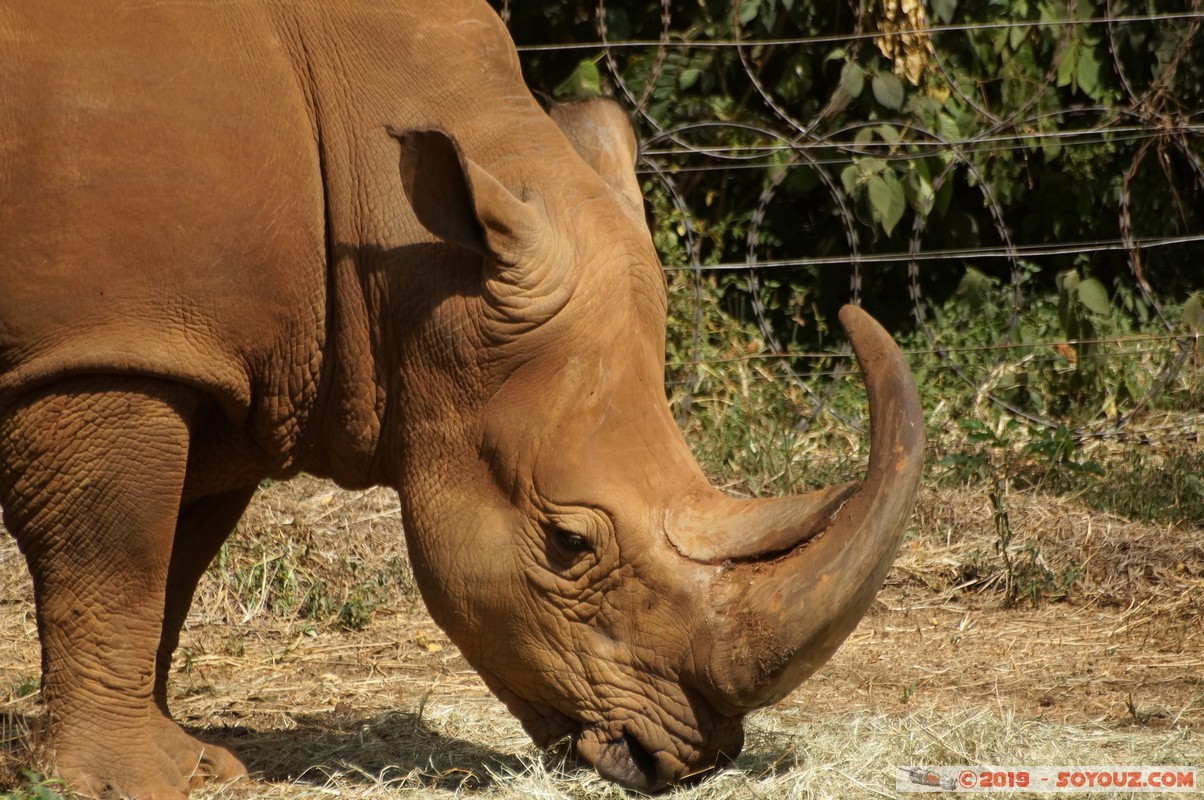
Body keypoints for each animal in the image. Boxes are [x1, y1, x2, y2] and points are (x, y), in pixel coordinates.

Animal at [0, 0, 924, 796]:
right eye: (567, 543)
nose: (692, 759)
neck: (401, 254)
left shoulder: (215, 364)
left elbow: (172, 566)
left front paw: (197, 766)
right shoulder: (111, 348)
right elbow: (118, 558)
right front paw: (135, 784)